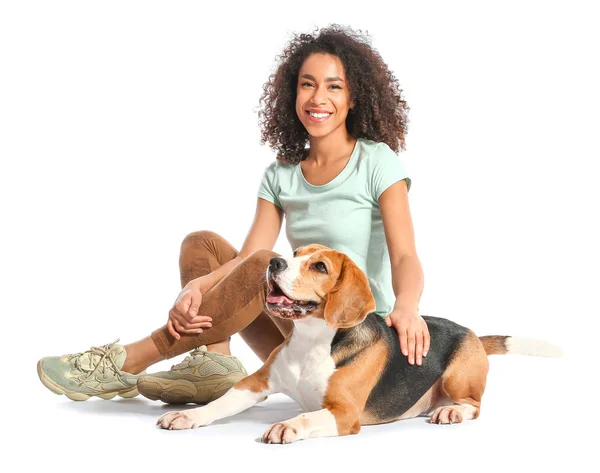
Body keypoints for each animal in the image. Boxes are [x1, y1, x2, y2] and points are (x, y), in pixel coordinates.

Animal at [157, 245, 560, 440]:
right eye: (296, 254)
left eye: (319, 267)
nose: (274, 263)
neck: (312, 342)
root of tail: (472, 332)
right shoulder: (254, 384)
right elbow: (220, 403)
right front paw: (187, 415)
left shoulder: (344, 413)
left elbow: (308, 416)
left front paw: (290, 425)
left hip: (458, 375)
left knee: (474, 405)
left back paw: (452, 412)